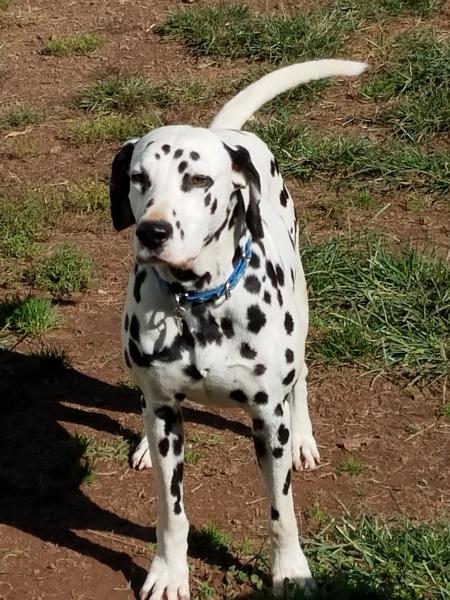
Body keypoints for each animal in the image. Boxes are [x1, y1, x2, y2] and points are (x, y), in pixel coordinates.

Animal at [110, 57, 368, 600]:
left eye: (197, 180)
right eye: (138, 177)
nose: (152, 232)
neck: (198, 303)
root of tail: (226, 132)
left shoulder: (268, 420)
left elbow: (282, 513)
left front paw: (291, 572)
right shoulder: (165, 414)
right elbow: (171, 514)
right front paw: (168, 573)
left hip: (301, 312)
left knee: (303, 377)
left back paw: (305, 439)